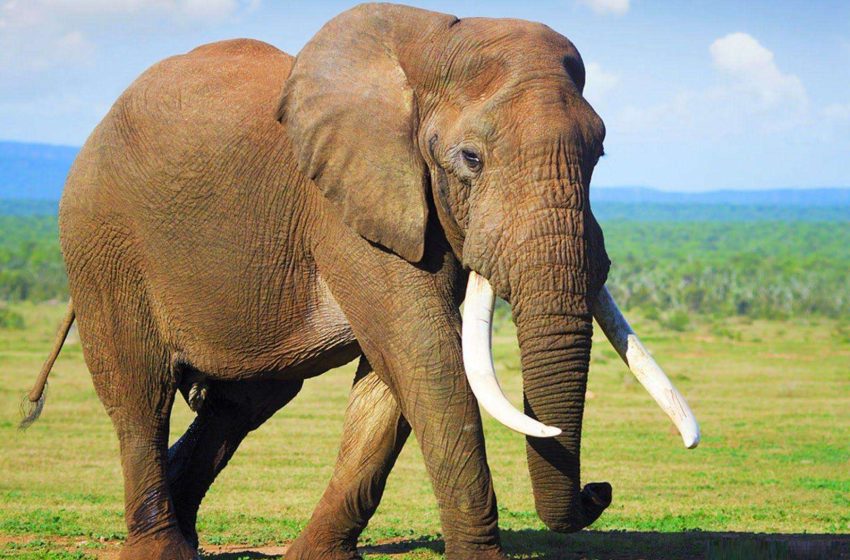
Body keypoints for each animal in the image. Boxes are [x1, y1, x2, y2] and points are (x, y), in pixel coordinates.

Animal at [22, 4, 700, 560]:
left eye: (599, 156)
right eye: (470, 160)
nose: (599, 490)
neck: (430, 44)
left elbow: (394, 379)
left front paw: (314, 559)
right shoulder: (347, 204)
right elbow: (424, 352)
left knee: (245, 401)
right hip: (100, 238)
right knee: (141, 391)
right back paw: (159, 548)